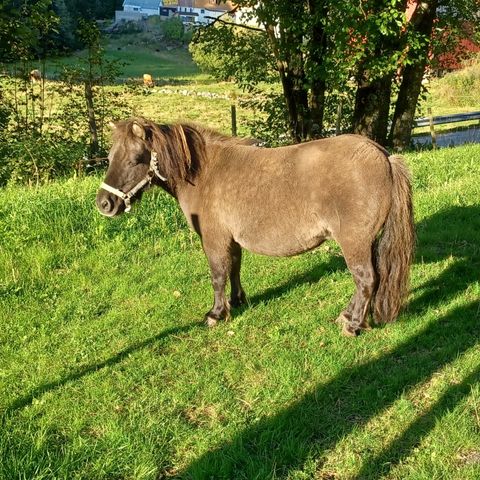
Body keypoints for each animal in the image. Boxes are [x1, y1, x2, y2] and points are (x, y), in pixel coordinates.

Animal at [95, 116, 414, 336]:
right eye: (109, 157)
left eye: (136, 159)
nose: (104, 204)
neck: (205, 173)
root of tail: (384, 156)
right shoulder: (231, 240)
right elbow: (234, 268)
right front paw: (237, 302)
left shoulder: (214, 239)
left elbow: (218, 275)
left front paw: (215, 313)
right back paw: (349, 316)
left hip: (354, 242)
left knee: (366, 279)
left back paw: (353, 324)